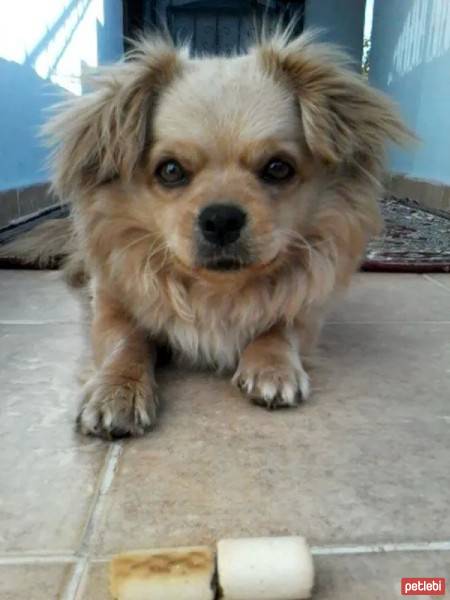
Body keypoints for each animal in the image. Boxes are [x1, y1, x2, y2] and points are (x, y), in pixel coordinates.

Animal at [11, 29, 412, 440]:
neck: (217, 294)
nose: (221, 218)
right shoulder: (113, 304)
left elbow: (280, 328)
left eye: (278, 168)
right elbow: (127, 340)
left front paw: (273, 365)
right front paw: (117, 389)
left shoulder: (307, 311)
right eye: (170, 170)